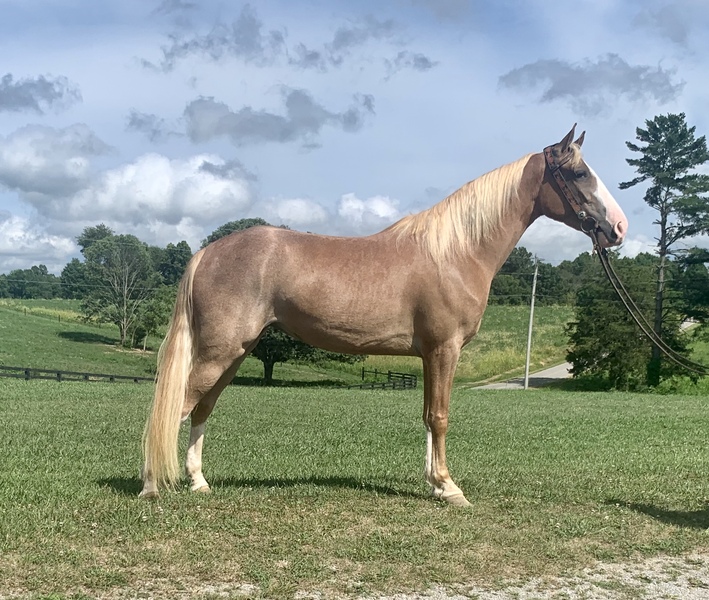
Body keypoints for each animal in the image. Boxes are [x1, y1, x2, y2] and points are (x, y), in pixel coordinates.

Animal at [140, 125, 628, 506]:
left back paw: (198, 482)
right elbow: (441, 416)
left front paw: (435, 484)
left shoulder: (430, 355)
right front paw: (451, 489)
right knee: (174, 408)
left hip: (235, 351)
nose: (619, 228)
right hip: (221, 351)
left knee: (201, 408)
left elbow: (429, 416)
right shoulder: (445, 349)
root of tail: (207, 252)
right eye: (580, 173)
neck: (456, 251)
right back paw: (151, 486)